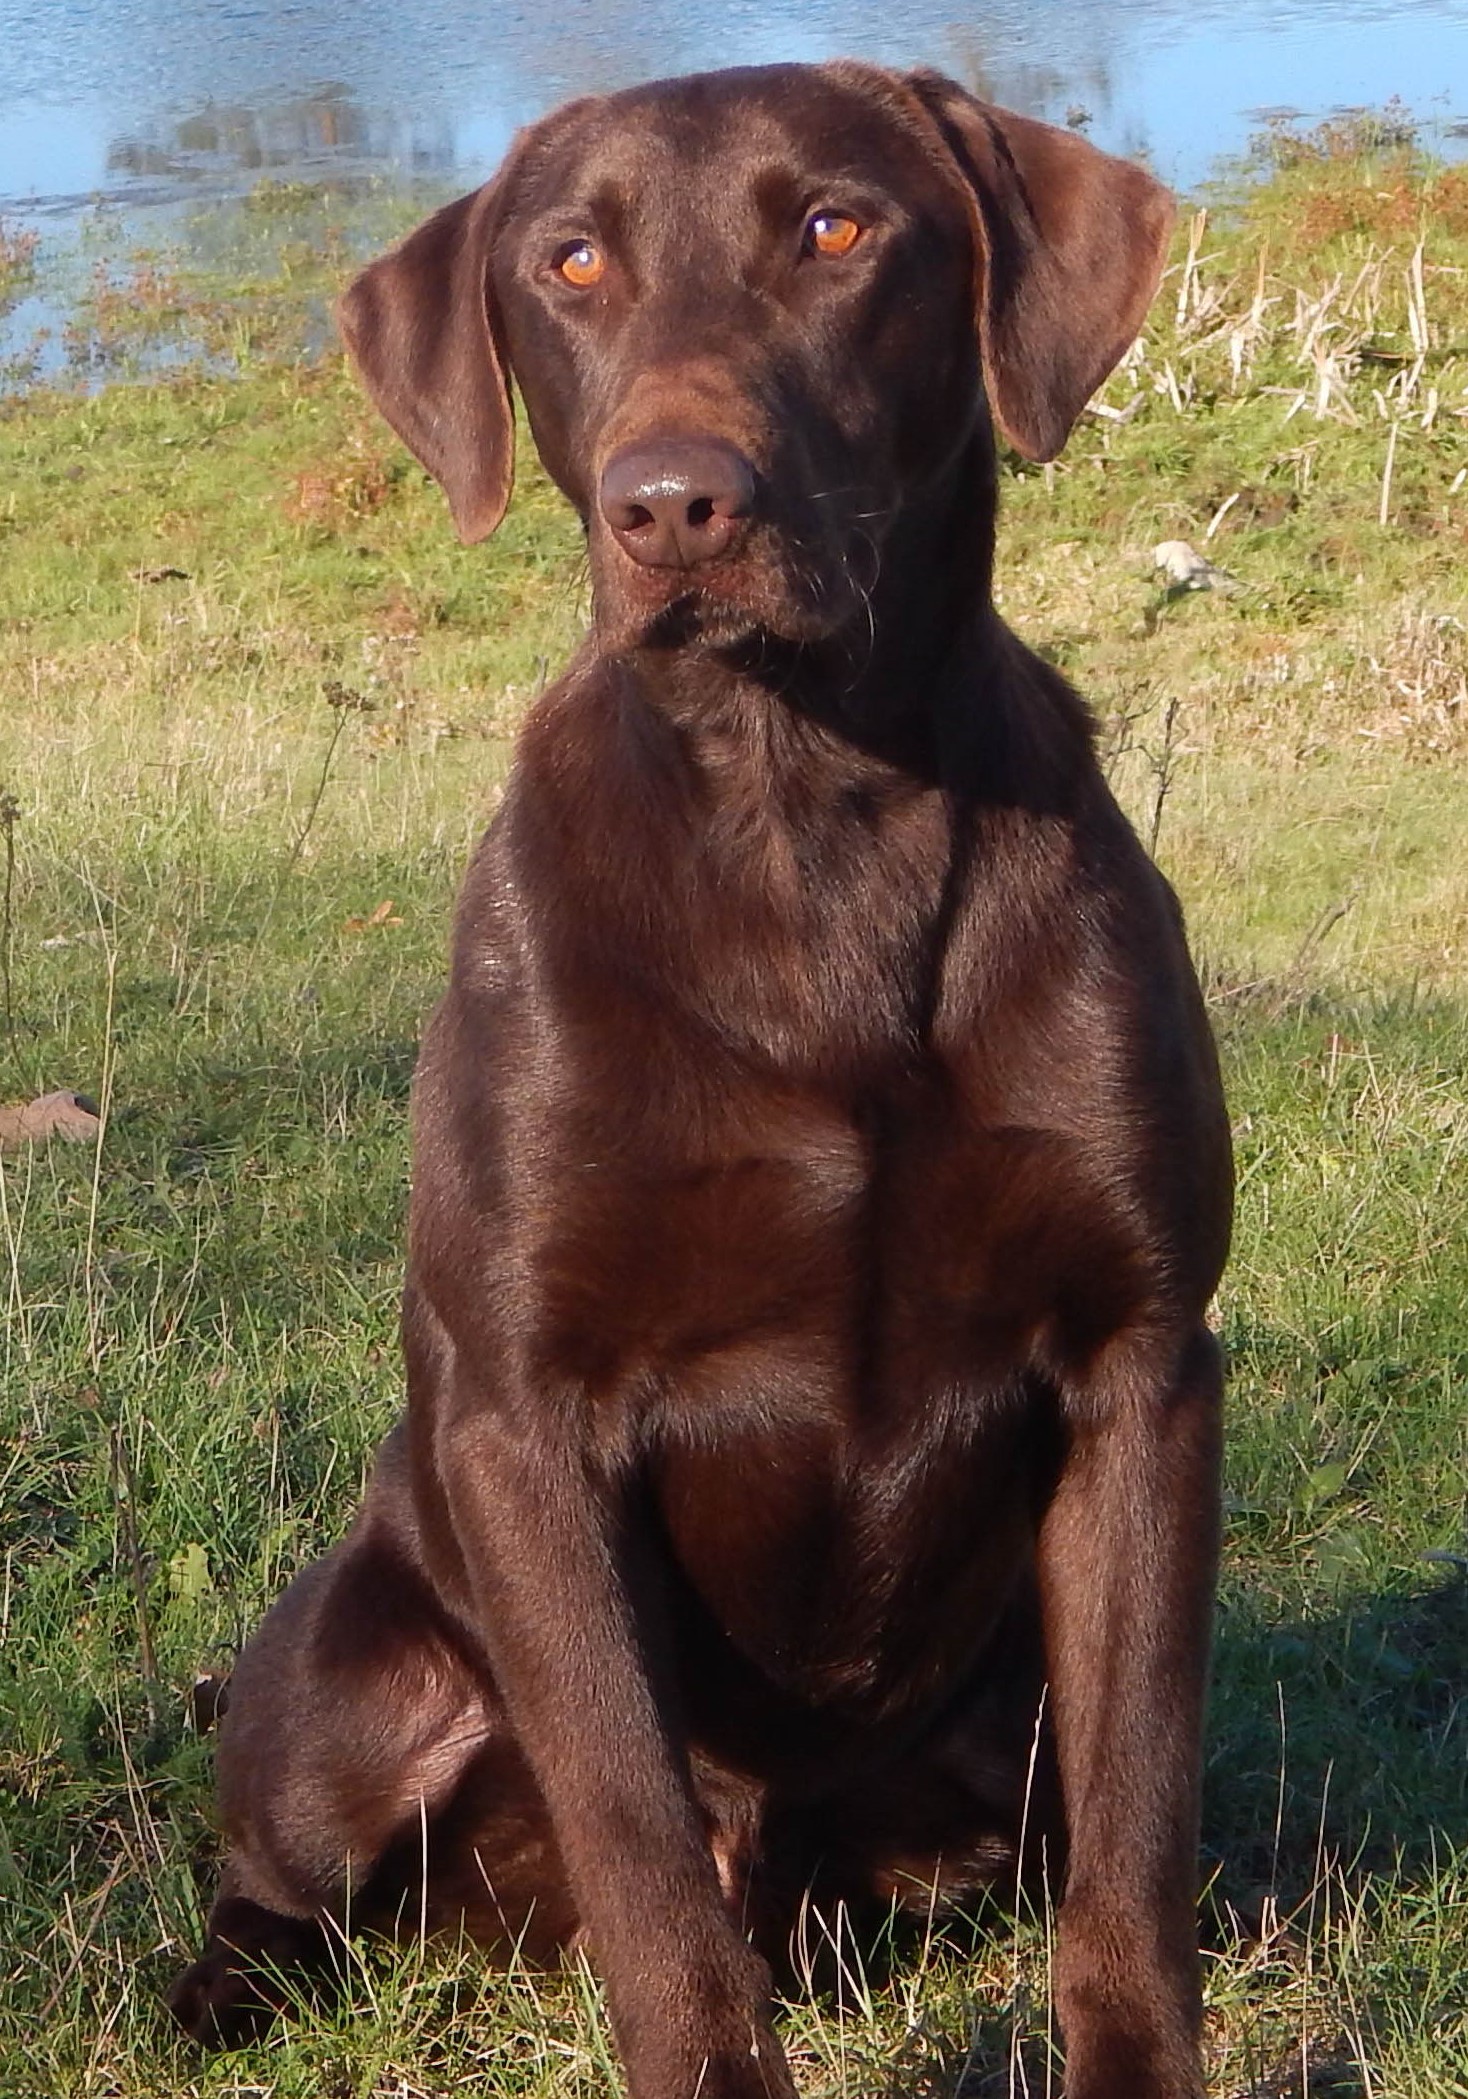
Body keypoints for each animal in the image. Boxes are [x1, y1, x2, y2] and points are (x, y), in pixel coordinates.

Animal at [169, 61, 1226, 2099]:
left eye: (833, 227)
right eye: (570, 261)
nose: (673, 501)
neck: (806, 822)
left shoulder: (1141, 1361)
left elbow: (1140, 1830)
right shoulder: (529, 1414)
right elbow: (645, 1854)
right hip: (347, 1686)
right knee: (296, 1872)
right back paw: (221, 1985)